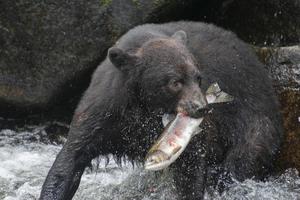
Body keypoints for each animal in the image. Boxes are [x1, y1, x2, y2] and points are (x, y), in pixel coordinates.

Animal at [39, 21, 284, 199]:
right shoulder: (105, 110)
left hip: (254, 119)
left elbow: (191, 165)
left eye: (198, 77)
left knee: (242, 159)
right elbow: (72, 157)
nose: (201, 108)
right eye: (175, 82)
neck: (145, 107)